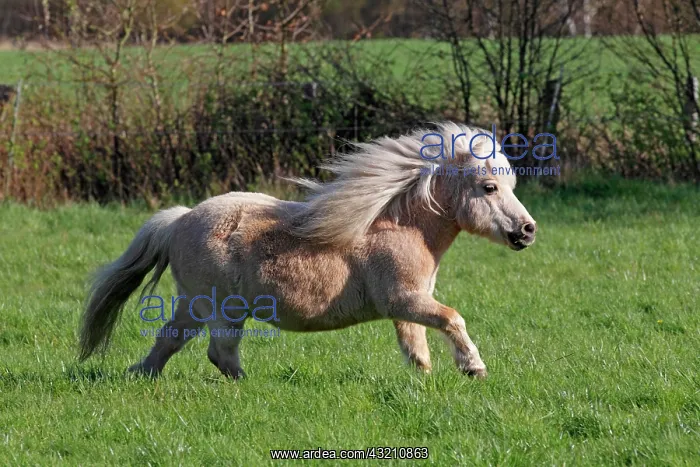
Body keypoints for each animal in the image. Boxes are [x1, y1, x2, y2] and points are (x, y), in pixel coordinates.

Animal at [79, 122, 537, 379]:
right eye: (489, 187)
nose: (528, 231)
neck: (400, 227)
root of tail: (179, 219)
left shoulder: (407, 306)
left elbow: (417, 352)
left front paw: (424, 385)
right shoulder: (405, 299)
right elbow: (452, 320)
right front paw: (474, 368)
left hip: (193, 304)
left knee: (169, 341)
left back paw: (140, 375)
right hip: (222, 310)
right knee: (219, 352)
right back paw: (249, 385)